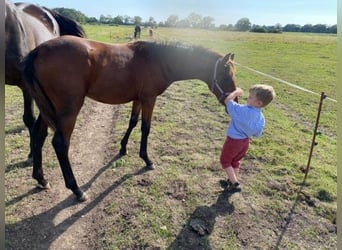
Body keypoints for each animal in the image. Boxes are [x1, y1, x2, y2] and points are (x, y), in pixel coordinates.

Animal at [22, 35, 238, 201]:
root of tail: (38, 51)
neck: (158, 60)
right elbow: (146, 128)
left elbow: (133, 122)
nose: (234, 101)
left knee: (38, 135)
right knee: (60, 143)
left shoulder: (138, 99)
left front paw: (123, 148)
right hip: (67, 110)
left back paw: (41, 179)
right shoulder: (149, 99)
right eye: (227, 75)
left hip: (48, 108)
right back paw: (76, 190)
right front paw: (147, 159)